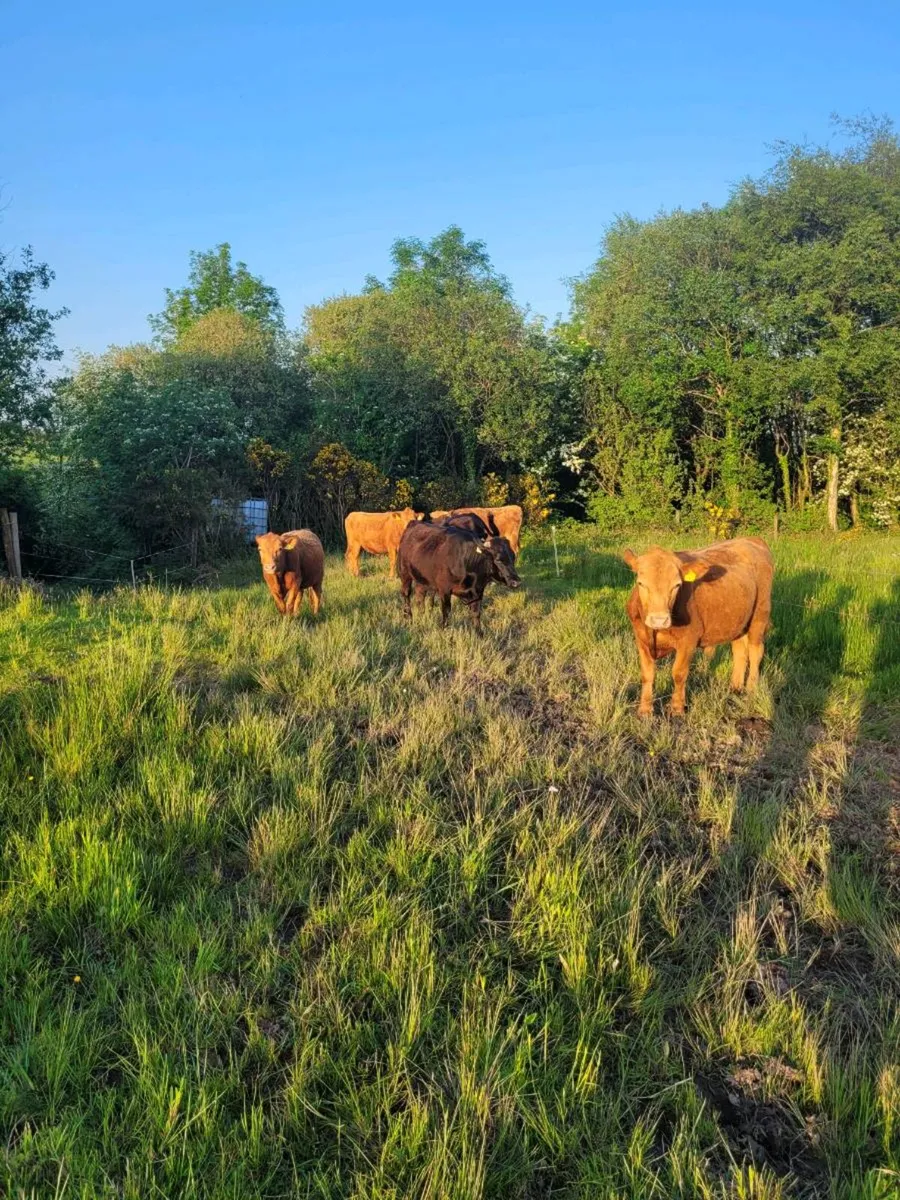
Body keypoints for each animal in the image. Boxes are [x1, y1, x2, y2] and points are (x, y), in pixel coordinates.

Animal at [622, 537, 774, 718]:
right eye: (641, 583)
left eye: (677, 585)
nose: (659, 619)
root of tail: (751, 539)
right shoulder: (641, 639)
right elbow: (647, 674)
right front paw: (644, 710)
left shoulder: (688, 641)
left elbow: (679, 673)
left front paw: (677, 709)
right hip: (738, 621)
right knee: (739, 651)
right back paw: (735, 688)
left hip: (760, 615)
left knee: (755, 651)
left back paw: (750, 690)